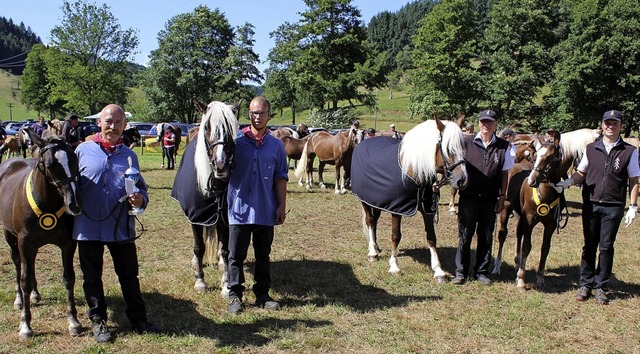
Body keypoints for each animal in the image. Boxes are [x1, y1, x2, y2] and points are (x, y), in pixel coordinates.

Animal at [0, 129, 82, 338]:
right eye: (51, 165)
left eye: (74, 160)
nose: (75, 204)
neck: (47, 204)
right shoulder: (25, 243)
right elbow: (25, 281)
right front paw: (25, 325)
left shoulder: (67, 244)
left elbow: (69, 278)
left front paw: (74, 322)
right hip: (10, 236)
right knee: (18, 264)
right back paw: (19, 299)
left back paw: (36, 295)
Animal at [170, 101, 238, 294]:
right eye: (207, 127)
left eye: (232, 128)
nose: (221, 165)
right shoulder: (196, 217)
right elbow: (199, 247)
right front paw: (200, 281)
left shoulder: (224, 217)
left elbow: (225, 249)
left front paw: (226, 284)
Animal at [352, 119, 468, 282]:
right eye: (447, 148)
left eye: (464, 146)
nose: (462, 180)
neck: (413, 171)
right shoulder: (396, 209)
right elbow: (396, 236)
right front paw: (394, 266)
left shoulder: (427, 210)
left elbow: (431, 238)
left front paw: (438, 271)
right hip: (365, 201)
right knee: (369, 221)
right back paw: (372, 252)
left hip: (377, 202)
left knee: (374, 222)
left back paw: (376, 247)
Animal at [492, 131, 564, 290]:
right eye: (536, 156)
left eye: (551, 157)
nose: (532, 180)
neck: (545, 194)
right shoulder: (530, 220)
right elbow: (526, 246)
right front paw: (521, 279)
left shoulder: (550, 224)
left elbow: (545, 248)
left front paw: (540, 278)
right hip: (506, 209)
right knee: (502, 234)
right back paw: (497, 266)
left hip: (520, 216)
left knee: (519, 233)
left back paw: (517, 263)